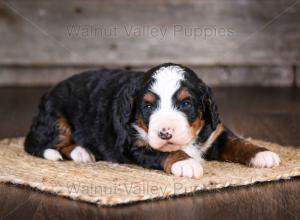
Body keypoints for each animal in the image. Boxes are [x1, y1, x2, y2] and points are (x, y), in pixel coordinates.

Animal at [24, 62, 280, 178]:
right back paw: (81, 152)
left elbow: (238, 142)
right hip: (57, 120)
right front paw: (186, 162)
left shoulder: (215, 133)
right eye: (148, 106)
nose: (165, 132)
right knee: (38, 144)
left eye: (185, 104)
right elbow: (165, 152)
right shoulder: (135, 144)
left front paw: (262, 153)